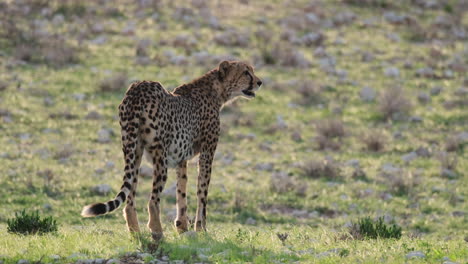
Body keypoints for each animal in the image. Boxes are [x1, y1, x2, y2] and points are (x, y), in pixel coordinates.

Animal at [82, 60, 262, 238]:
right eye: (246, 72)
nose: (259, 82)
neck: (217, 90)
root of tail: (138, 87)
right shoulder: (207, 153)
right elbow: (202, 191)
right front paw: (201, 228)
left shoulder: (181, 158)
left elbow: (181, 190)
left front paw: (182, 227)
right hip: (159, 156)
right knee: (152, 200)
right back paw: (157, 232)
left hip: (133, 151)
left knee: (130, 198)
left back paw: (136, 234)